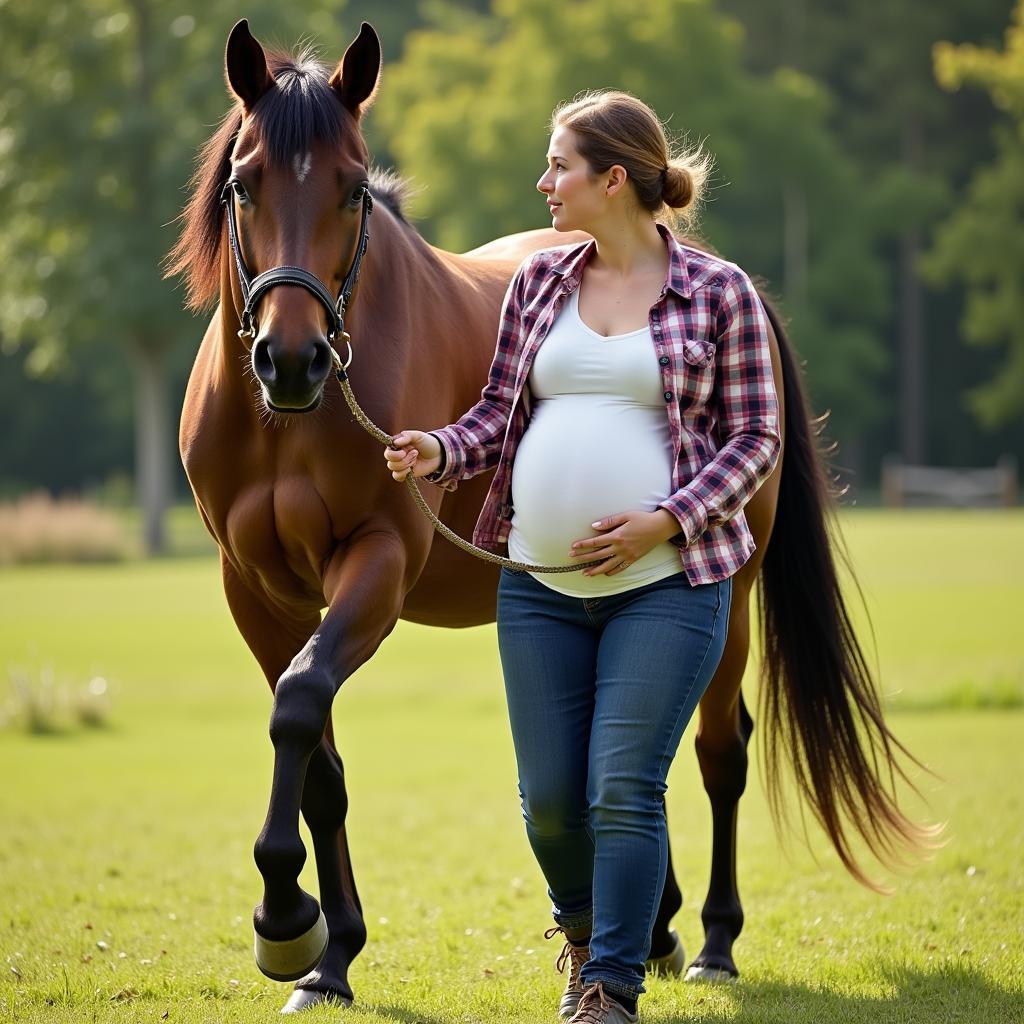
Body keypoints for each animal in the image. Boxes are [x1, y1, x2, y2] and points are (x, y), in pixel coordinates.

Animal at [167, 18, 937, 1015]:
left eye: (352, 187)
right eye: (244, 183)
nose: (291, 360)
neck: (290, 426)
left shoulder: (376, 562)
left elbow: (301, 707)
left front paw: (285, 922)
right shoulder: (258, 589)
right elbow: (316, 755)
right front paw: (327, 959)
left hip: (730, 599)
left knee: (716, 751)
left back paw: (712, 942)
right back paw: (654, 929)